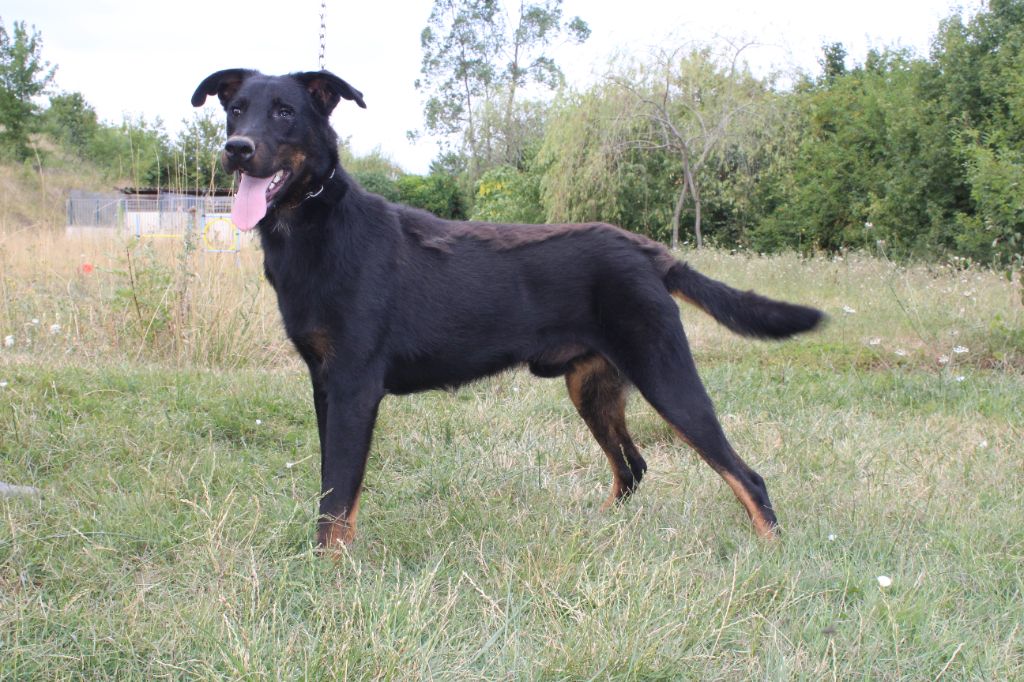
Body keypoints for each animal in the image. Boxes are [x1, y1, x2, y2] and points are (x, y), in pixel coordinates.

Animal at [192, 69, 827, 548]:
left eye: (284, 112)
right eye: (236, 110)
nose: (236, 149)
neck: (313, 228)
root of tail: (646, 250)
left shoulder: (353, 388)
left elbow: (338, 497)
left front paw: (328, 572)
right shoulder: (324, 386)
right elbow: (332, 492)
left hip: (666, 378)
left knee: (747, 477)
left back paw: (771, 552)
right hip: (592, 388)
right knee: (633, 468)